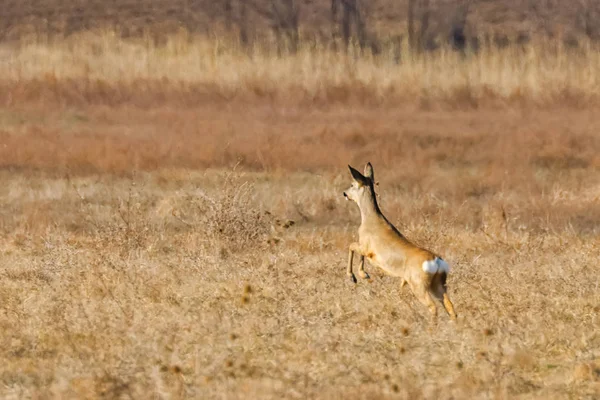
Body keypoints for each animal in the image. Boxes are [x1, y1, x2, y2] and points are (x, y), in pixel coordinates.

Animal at [342, 161, 460, 320]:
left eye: (352, 184)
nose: (345, 193)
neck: (371, 219)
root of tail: (437, 261)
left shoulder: (365, 248)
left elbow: (351, 246)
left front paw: (354, 277)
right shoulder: (365, 248)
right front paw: (364, 275)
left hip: (419, 286)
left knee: (433, 306)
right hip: (438, 285)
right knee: (449, 305)